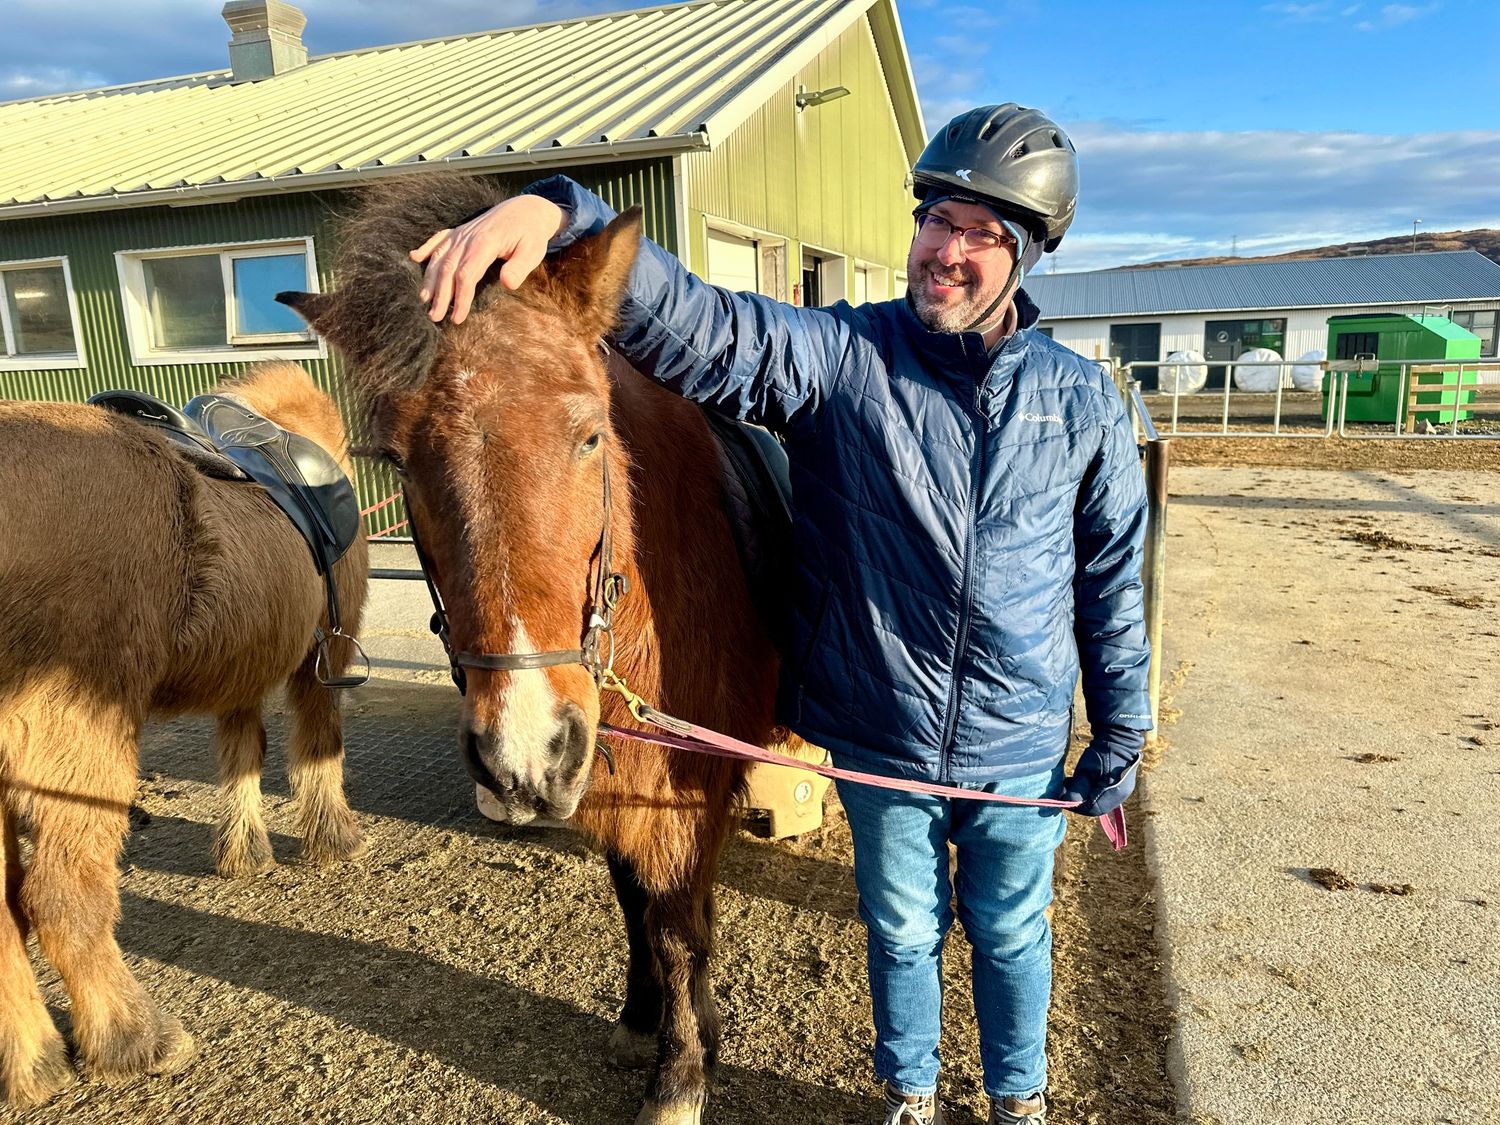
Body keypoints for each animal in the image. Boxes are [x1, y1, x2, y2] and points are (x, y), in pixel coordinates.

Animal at [0, 361, 369, 1106]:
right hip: (76, 739)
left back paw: (33, 1065)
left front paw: (244, 852)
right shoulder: (323, 657)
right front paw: (333, 839)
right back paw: (134, 1039)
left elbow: (243, 751)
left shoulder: (246, 662)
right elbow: (317, 746)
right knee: (61, 895)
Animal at [281, 176, 787, 1125]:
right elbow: (641, 905)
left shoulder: (686, 782)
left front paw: (682, 1072)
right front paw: (653, 1018)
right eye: (397, 461)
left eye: (589, 435)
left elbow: (678, 922)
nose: (519, 756)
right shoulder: (614, 773)